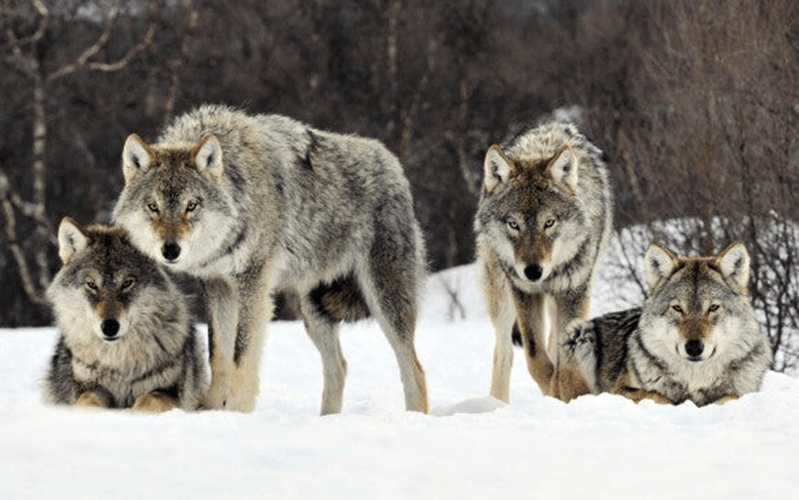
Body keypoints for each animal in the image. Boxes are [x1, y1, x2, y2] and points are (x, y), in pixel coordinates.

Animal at [43, 218, 207, 411]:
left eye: (127, 283)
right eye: (91, 284)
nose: (109, 327)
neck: (118, 363)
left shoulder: (170, 392)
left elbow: (148, 401)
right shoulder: (86, 387)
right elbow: (88, 401)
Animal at [112, 104, 428, 414]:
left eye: (192, 206)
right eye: (153, 207)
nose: (170, 250)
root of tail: (392, 162)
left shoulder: (253, 285)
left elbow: (241, 355)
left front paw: (236, 412)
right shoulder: (218, 286)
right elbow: (219, 354)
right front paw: (211, 410)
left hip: (384, 301)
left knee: (414, 368)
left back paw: (414, 417)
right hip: (314, 311)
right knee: (339, 367)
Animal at [474, 121, 613, 402]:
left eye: (549, 223)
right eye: (513, 224)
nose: (533, 271)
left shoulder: (573, 292)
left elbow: (562, 355)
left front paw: (563, 391)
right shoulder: (524, 292)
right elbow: (535, 355)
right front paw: (552, 388)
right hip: (500, 295)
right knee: (504, 352)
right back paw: (497, 403)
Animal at [560, 242, 773, 406]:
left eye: (713, 308)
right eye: (677, 308)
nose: (694, 347)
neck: (694, 381)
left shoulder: (743, 392)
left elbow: (730, 397)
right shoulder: (619, 389)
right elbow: (658, 396)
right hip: (579, 334)